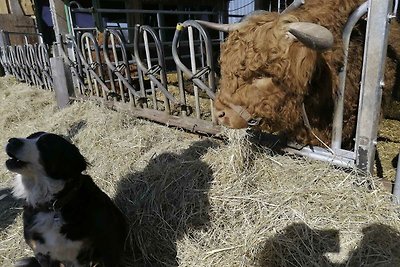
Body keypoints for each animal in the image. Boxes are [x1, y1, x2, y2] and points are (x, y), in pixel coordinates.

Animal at [4, 132, 126, 267]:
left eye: (45, 145)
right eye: (29, 137)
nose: (12, 141)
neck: (52, 206)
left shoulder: (102, 246)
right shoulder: (43, 254)